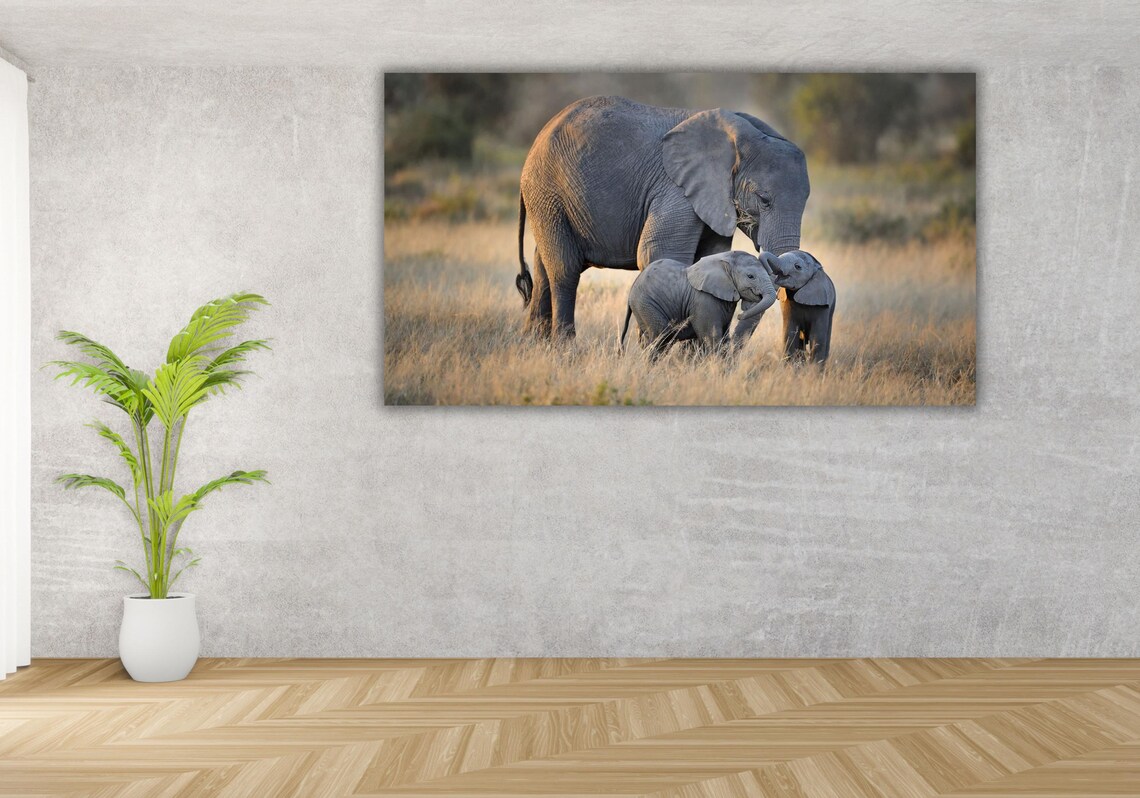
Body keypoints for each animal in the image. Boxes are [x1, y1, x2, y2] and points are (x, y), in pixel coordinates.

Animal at [515, 95, 810, 338]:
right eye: (764, 200)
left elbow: (709, 256)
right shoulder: (675, 190)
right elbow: (659, 253)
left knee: (543, 265)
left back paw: (534, 345)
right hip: (547, 192)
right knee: (564, 270)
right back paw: (564, 349)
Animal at [620, 250, 777, 357]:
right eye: (751, 276)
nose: (740, 315)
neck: (724, 259)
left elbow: (724, 338)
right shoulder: (704, 300)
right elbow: (712, 338)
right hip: (646, 304)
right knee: (660, 338)